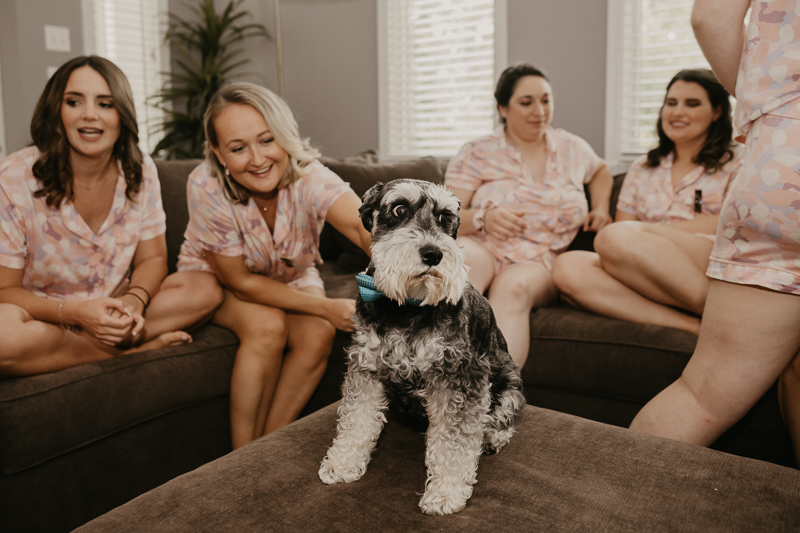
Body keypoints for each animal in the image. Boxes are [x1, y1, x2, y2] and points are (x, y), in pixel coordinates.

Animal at [318, 179, 524, 516]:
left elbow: (454, 441)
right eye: (400, 209)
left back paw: (491, 435)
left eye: (445, 218)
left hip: (508, 381)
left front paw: (445, 492)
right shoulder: (366, 367)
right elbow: (356, 419)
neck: (406, 308)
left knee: (503, 415)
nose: (432, 253)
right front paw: (343, 463)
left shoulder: (460, 377)